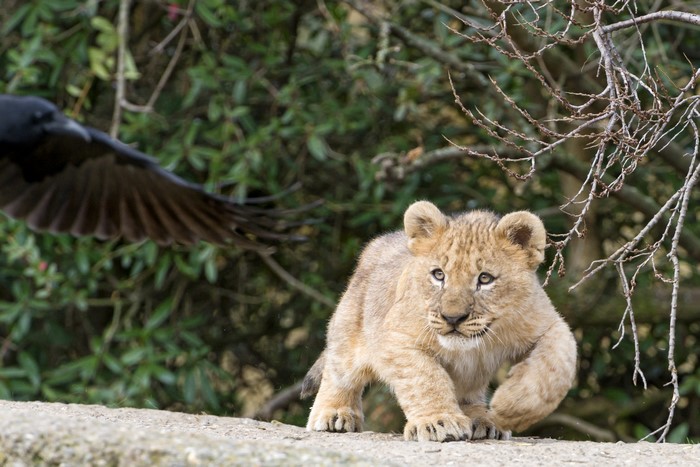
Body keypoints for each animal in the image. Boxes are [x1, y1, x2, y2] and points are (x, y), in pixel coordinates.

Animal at [302, 201, 577, 442]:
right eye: (438, 275)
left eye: (485, 278)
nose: (452, 317)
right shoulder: (397, 336)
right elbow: (425, 377)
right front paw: (438, 421)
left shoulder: (549, 323)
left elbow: (556, 363)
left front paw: (513, 408)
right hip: (349, 334)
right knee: (338, 372)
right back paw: (334, 413)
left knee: (470, 395)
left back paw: (483, 419)